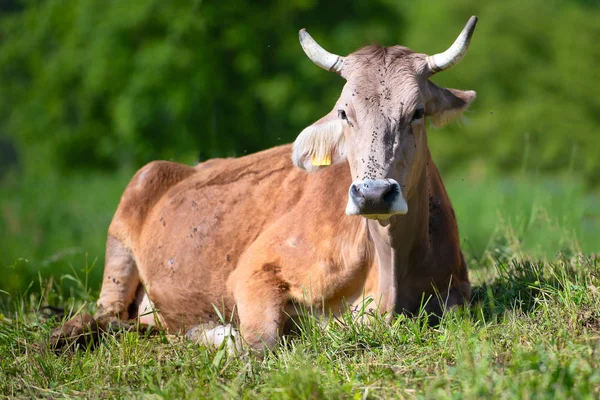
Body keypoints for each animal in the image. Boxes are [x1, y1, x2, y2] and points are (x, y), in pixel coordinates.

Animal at [52, 16, 482, 354]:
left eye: (418, 112)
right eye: (344, 112)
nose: (373, 193)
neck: (387, 269)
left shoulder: (457, 290)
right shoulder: (253, 271)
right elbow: (259, 343)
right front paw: (215, 335)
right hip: (127, 222)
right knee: (102, 316)